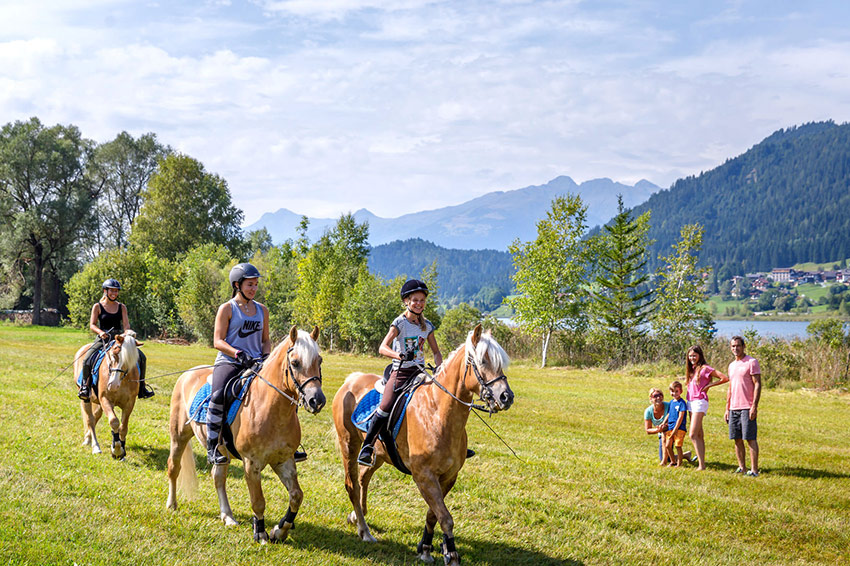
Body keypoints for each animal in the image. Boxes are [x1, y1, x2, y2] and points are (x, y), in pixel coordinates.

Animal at [71, 332, 141, 462]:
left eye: (129, 360)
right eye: (113, 354)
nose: (112, 385)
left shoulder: (129, 403)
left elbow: (123, 427)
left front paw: (122, 451)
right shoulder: (105, 399)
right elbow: (114, 422)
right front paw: (116, 451)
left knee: (95, 417)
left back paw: (88, 438)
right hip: (86, 399)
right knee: (90, 420)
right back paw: (95, 447)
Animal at [165, 326, 324, 544]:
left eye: (320, 361)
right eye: (295, 363)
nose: (317, 400)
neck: (271, 409)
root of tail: (187, 374)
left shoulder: (284, 460)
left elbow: (296, 496)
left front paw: (280, 530)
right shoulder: (251, 463)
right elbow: (258, 501)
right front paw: (261, 533)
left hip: (221, 452)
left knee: (218, 477)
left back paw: (228, 516)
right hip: (179, 436)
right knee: (174, 467)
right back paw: (172, 504)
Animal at [332, 326, 512, 564]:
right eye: (482, 361)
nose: (506, 396)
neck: (437, 413)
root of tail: (351, 381)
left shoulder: (448, 476)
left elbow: (433, 514)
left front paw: (425, 547)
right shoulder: (424, 476)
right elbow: (445, 517)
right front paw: (451, 554)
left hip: (377, 455)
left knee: (363, 479)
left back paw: (357, 516)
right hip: (349, 446)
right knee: (352, 484)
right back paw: (365, 530)